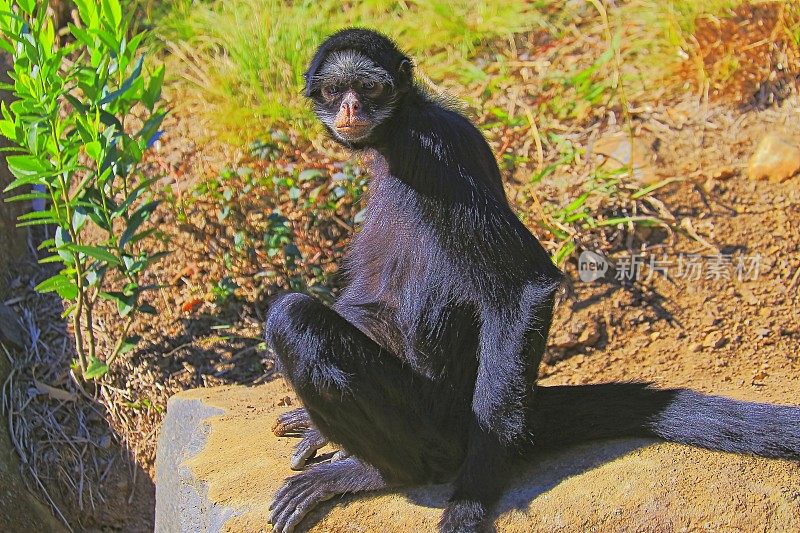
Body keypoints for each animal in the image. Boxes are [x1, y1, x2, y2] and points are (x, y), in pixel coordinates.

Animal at [266, 30, 796, 532]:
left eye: (370, 88)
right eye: (335, 90)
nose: (351, 107)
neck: (402, 128)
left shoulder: (437, 152)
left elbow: (524, 286)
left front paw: (473, 494)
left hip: (432, 424)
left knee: (292, 317)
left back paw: (378, 473)